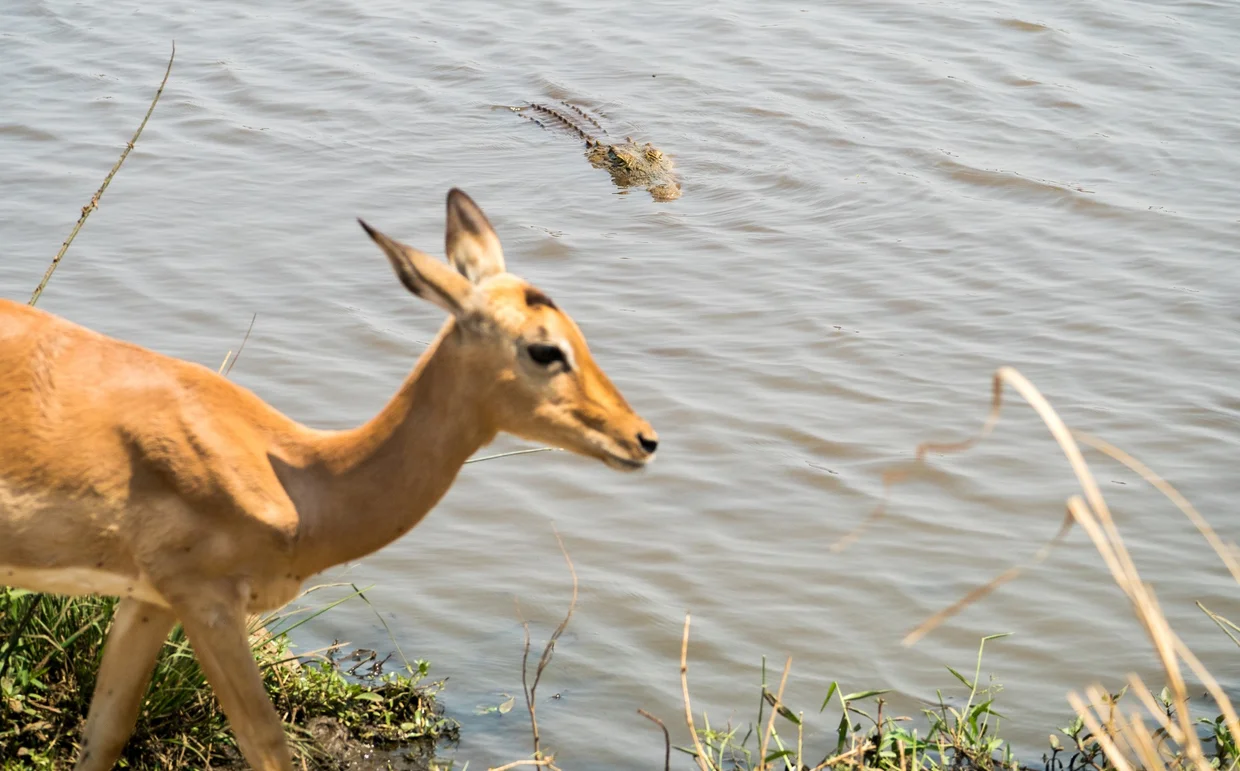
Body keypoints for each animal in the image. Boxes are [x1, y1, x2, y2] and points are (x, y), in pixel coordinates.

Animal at [0, 189, 658, 771]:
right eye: (545, 349)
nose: (643, 439)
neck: (300, 480)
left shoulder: (149, 598)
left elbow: (106, 734)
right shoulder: (208, 600)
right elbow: (268, 745)